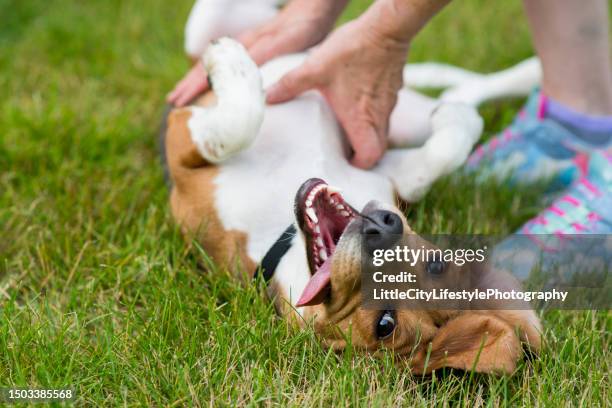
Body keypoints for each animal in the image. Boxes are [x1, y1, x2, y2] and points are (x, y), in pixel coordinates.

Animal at [161, 2, 540, 376]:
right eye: (436, 264)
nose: (384, 228)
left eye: (385, 325)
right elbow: (440, 155)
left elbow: (237, 124)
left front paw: (229, 62)